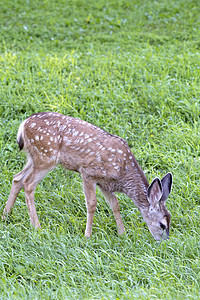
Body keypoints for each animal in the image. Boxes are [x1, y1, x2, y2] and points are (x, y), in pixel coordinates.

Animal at [1, 111, 172, 240]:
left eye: (170, 218)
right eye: (162, 224)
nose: (164, 241)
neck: (123, 173)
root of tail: (23, 125)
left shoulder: (106, 184)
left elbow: (115, 205)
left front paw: (122, 234)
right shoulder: (88, 173)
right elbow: (92, 204)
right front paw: (87, 235)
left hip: (34, 157)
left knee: (17, 178)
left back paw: (5, 215)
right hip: (46, 156)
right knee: (28, 184)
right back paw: (37, 226)